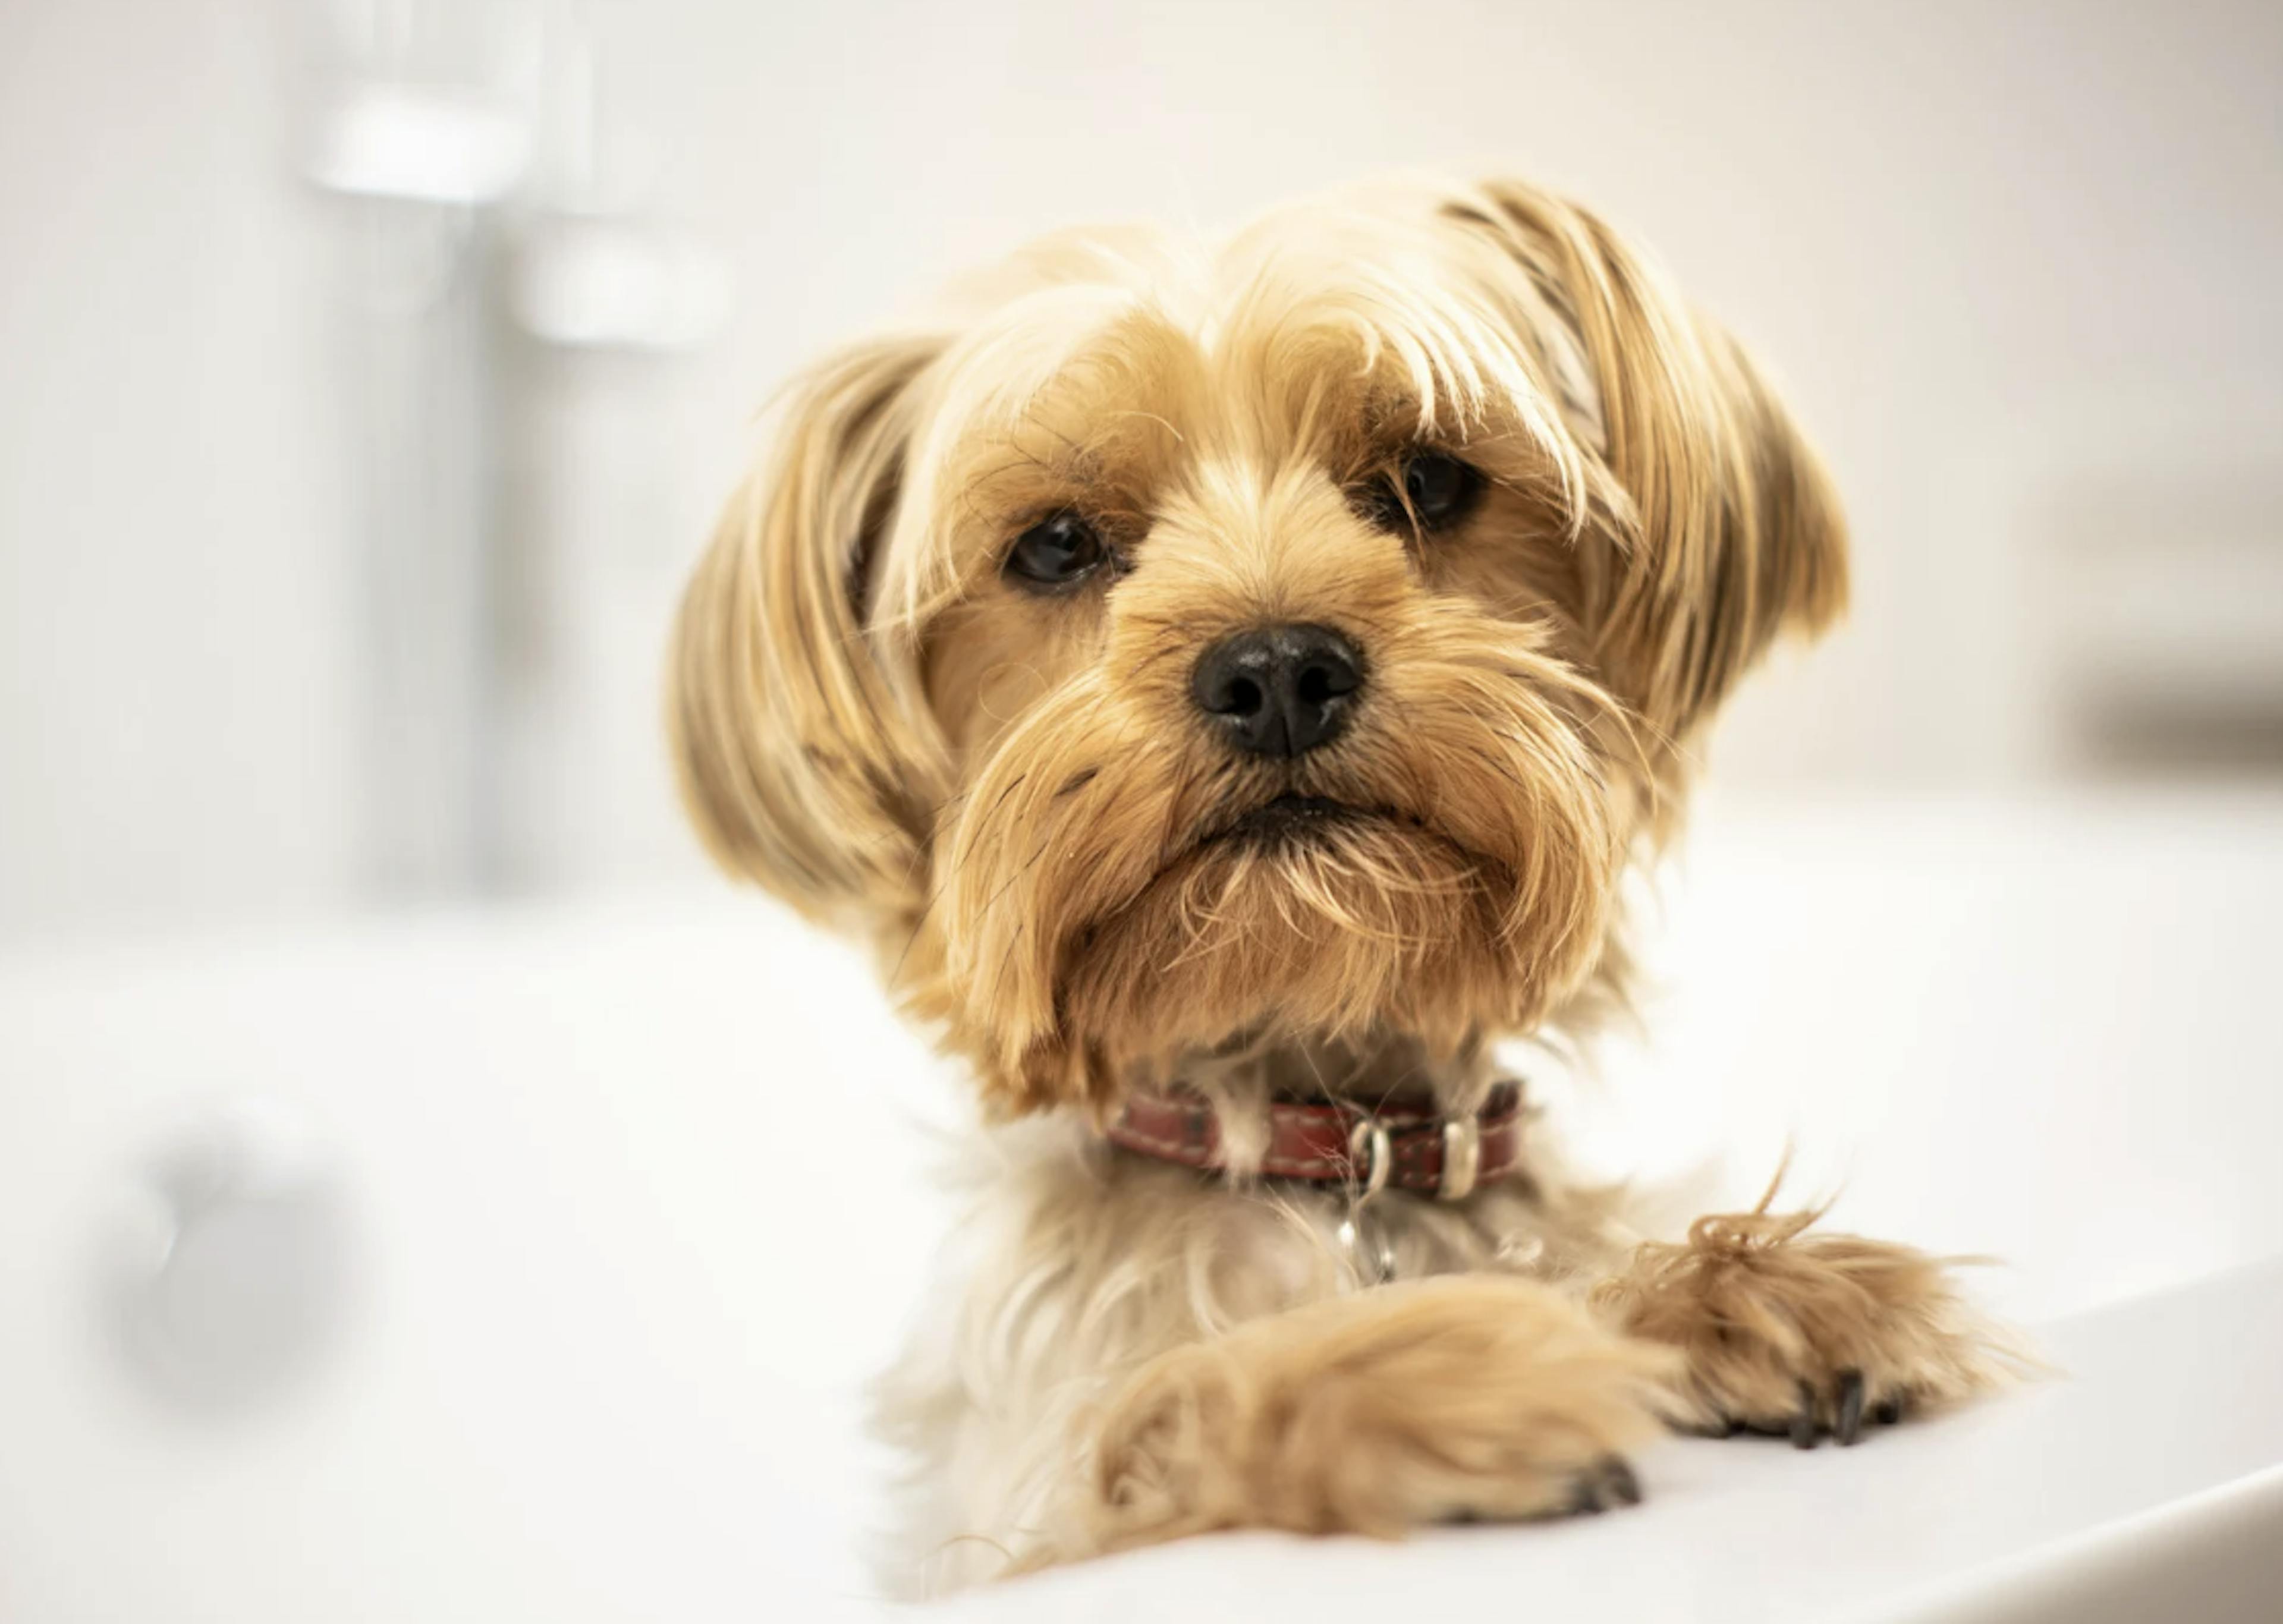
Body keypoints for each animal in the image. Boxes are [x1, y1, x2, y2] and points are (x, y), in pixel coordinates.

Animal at [666, 171, 2018, 1598]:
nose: (1275, 669)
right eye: (1055, 545)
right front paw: (1432, 1377)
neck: (1324, 1146)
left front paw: (1732, 1293)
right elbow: (1172, 1407)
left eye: (1427, 478)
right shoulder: (1027, 1526)